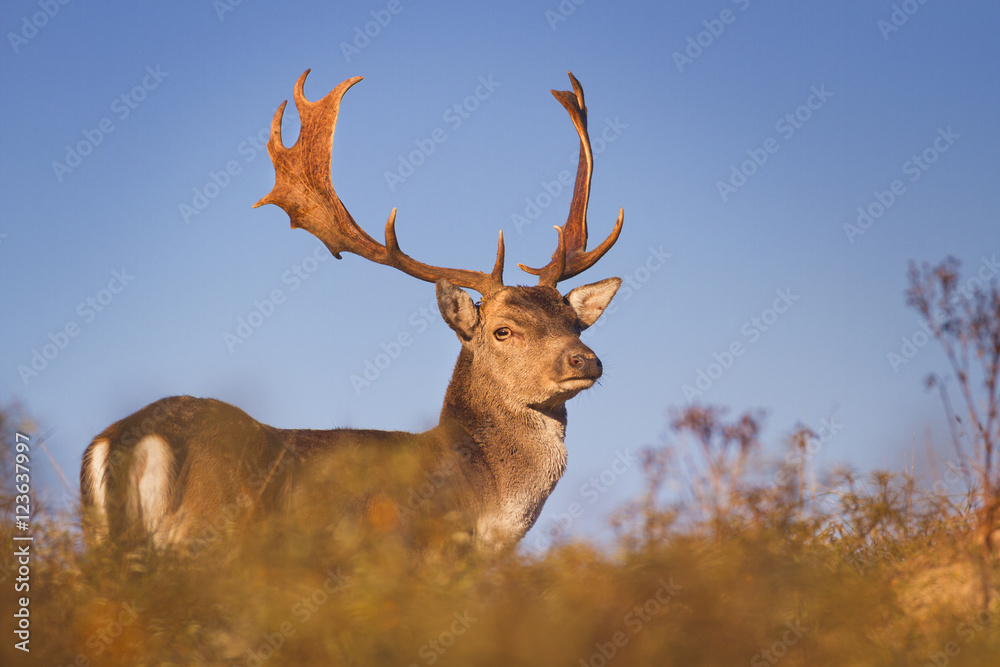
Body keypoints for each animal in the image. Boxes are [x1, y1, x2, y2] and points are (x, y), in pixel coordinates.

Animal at [80, 71, 623, 554]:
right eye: (503, 331)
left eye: (574, 322)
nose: (584, 360)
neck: (481, 501)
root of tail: (125, 439)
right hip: (201, 534)